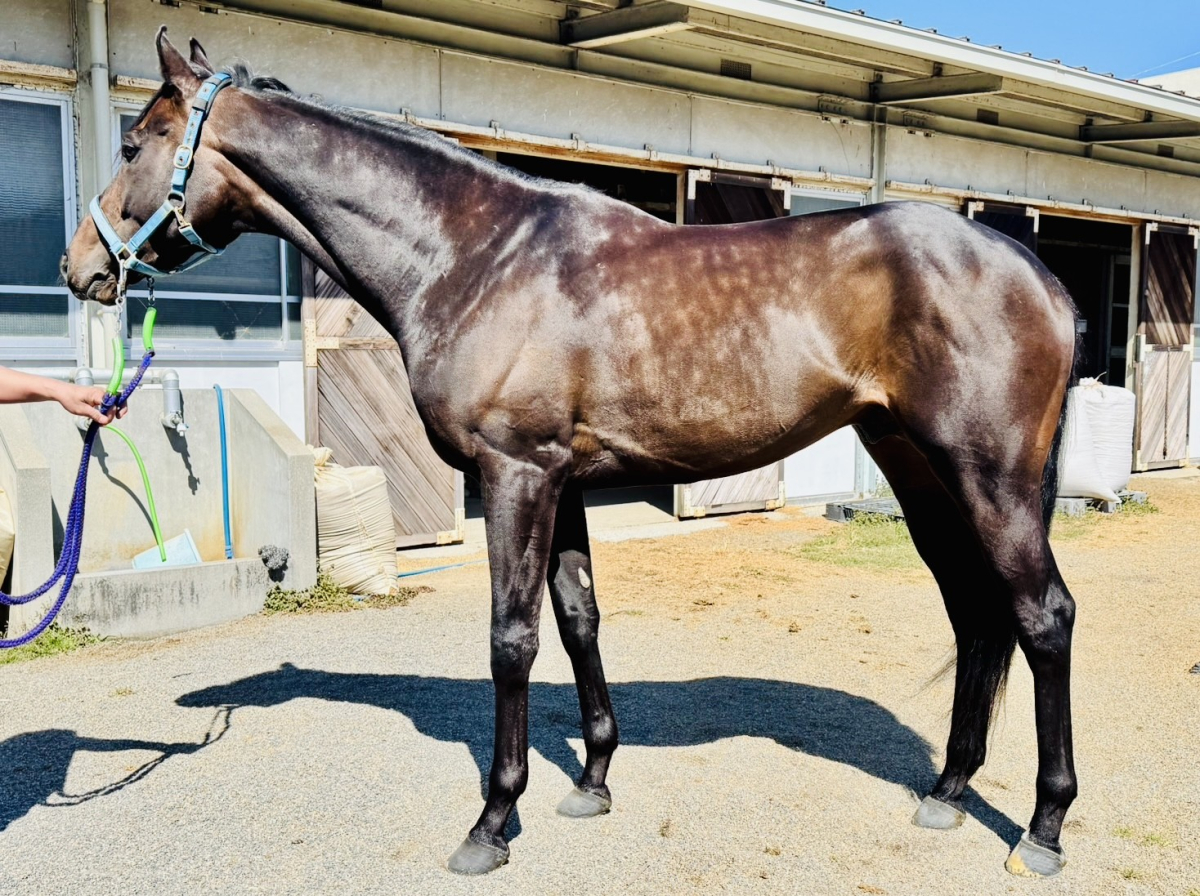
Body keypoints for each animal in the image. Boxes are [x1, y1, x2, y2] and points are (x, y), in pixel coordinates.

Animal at [64, 28, 1079, 878]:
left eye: (133, 145)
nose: (84, 269)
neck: (476, 255)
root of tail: (1038, 275)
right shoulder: (565, 484)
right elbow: (578, 617)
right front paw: (591, 781)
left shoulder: (514, 475)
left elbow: (512, 637)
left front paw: (491, 823)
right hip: (917, 468)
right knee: (975, 612)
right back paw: (948, 792)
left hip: (988, 477)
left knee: (1043, 617)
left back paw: (1041, 829)